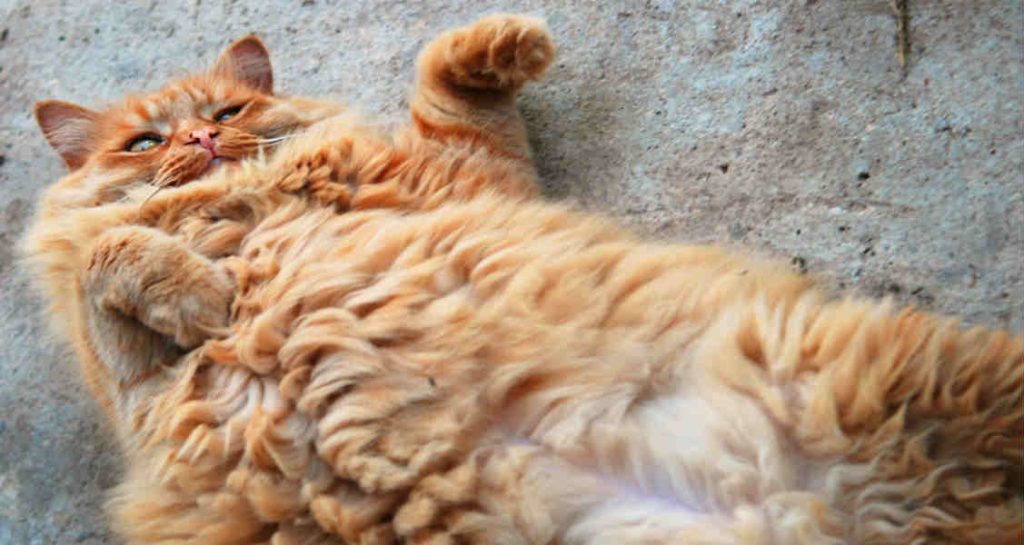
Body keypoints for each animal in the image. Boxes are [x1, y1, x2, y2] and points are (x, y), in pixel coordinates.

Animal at [22, 14, 1024, 540]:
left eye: (227, 113)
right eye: (145, 140)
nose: (197, 138)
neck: (238, 206)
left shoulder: (461, 175)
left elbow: (445, 84)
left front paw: (501, 43)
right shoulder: (133, 386)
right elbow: (112, 256)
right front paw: (196, 291)